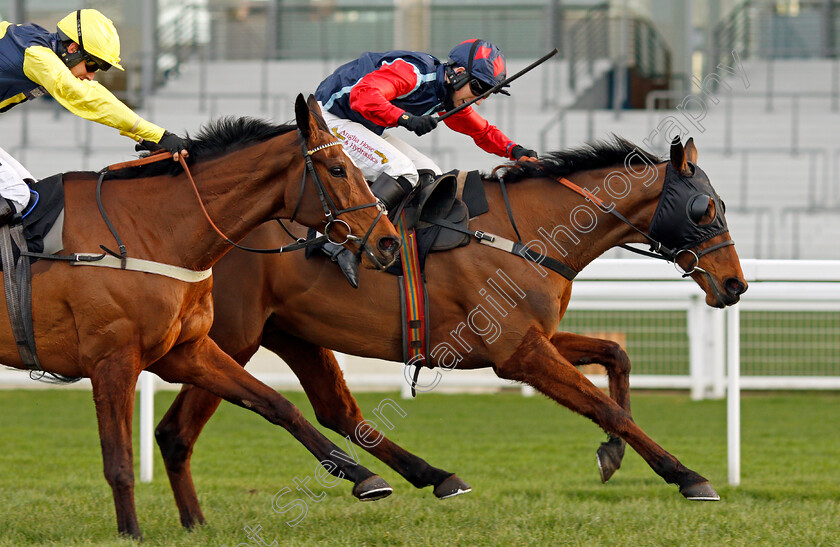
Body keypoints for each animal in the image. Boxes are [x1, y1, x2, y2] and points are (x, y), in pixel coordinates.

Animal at [0, 94, 400, 540]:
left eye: (355, 168)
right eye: (337, 169)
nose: (389, 242)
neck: (148, 232)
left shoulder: (186, 350)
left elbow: (277, 404)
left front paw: (365, 476)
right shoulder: (112, 361)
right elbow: (119, 461)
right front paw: (131, 533)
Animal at [153, 135, 748, 528]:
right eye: (704, 208)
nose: (735, 284)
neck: (525, 231)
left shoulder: (529, 339)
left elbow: (615, 357)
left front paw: (612, 455)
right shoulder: (517, 353)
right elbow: (607, 407)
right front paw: (685, 475)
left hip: (289, 332)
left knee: (334, 411)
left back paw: (424, 475)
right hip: (234, 338)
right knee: (179, 430)